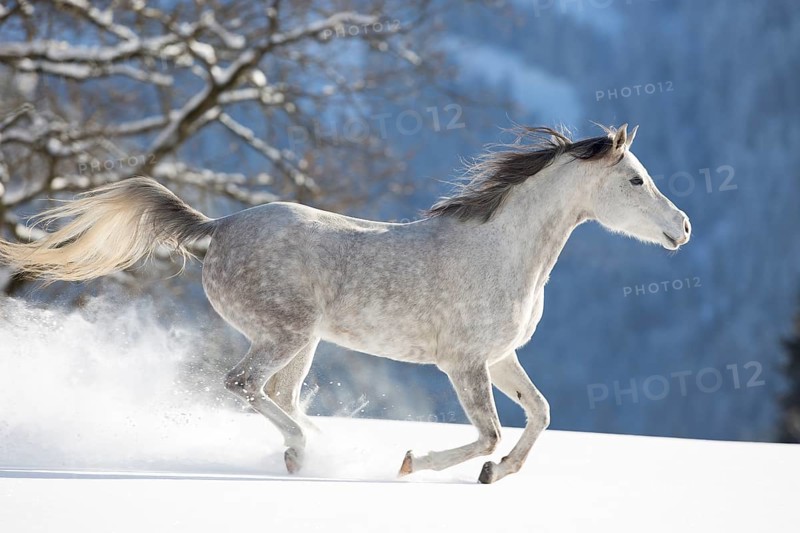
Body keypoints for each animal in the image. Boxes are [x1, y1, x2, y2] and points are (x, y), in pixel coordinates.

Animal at [0, 124, 691, 483]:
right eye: (636, 179)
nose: (682, 229)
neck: (503, 252)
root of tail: (218, 228)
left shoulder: (499, 359)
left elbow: (541, 413)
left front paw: (498, 476)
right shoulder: (464, 365)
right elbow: (488, 432)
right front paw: (413, 463)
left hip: (301, 343)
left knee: (277, 395)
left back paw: (302, 451)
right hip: (283, 334)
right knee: (244, 386)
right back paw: (308, 447)